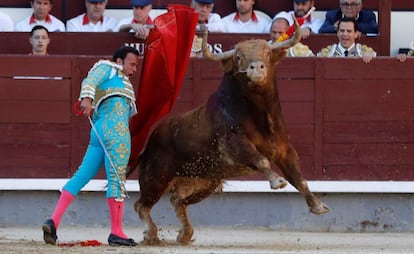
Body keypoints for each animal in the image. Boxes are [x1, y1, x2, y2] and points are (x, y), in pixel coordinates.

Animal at [129, 18, 330, 245]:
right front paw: (277, 181)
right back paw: (152, 235)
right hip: (156, 177)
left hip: (205, 182)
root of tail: (150, 140)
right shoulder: (235, 146)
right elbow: (261, 160)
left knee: (177, 201)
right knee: (142, 205)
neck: (261, 114)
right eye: (238, 57)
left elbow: (300, 178)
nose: (256, 67)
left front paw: (318, 206)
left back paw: (184, 234)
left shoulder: (284, 150)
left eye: (267, 53)